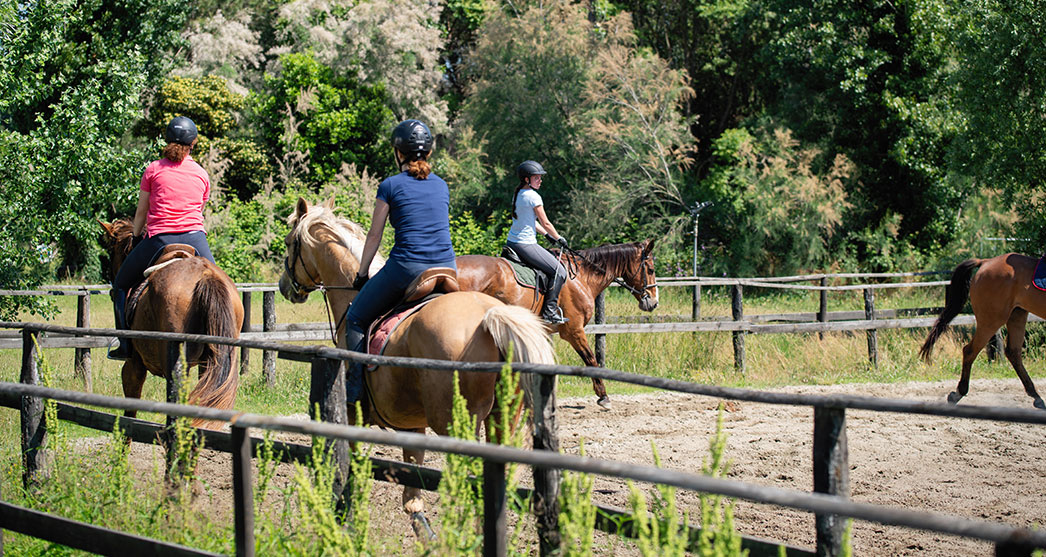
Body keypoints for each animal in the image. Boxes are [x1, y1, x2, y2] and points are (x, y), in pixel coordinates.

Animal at [276, 197, 556, 532]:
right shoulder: (413, 424)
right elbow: (413, 488)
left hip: (457, 424)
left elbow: (352, 471)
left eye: (289, 242)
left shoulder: (353, 416)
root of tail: (489, 316)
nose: (284, 287)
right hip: (502, 418)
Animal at [456, 237, 656, 405]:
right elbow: (591, 358)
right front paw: (603, 396)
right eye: (651, 270)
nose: (653, 302)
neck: (582, 276)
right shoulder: (574, 331)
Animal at [924, 253, 1046, 409]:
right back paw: (958, 393)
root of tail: (985, 262)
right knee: (970, 351)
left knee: (1013, 352)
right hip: (992, 320)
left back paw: (1036, 396)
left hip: (1017, 314)